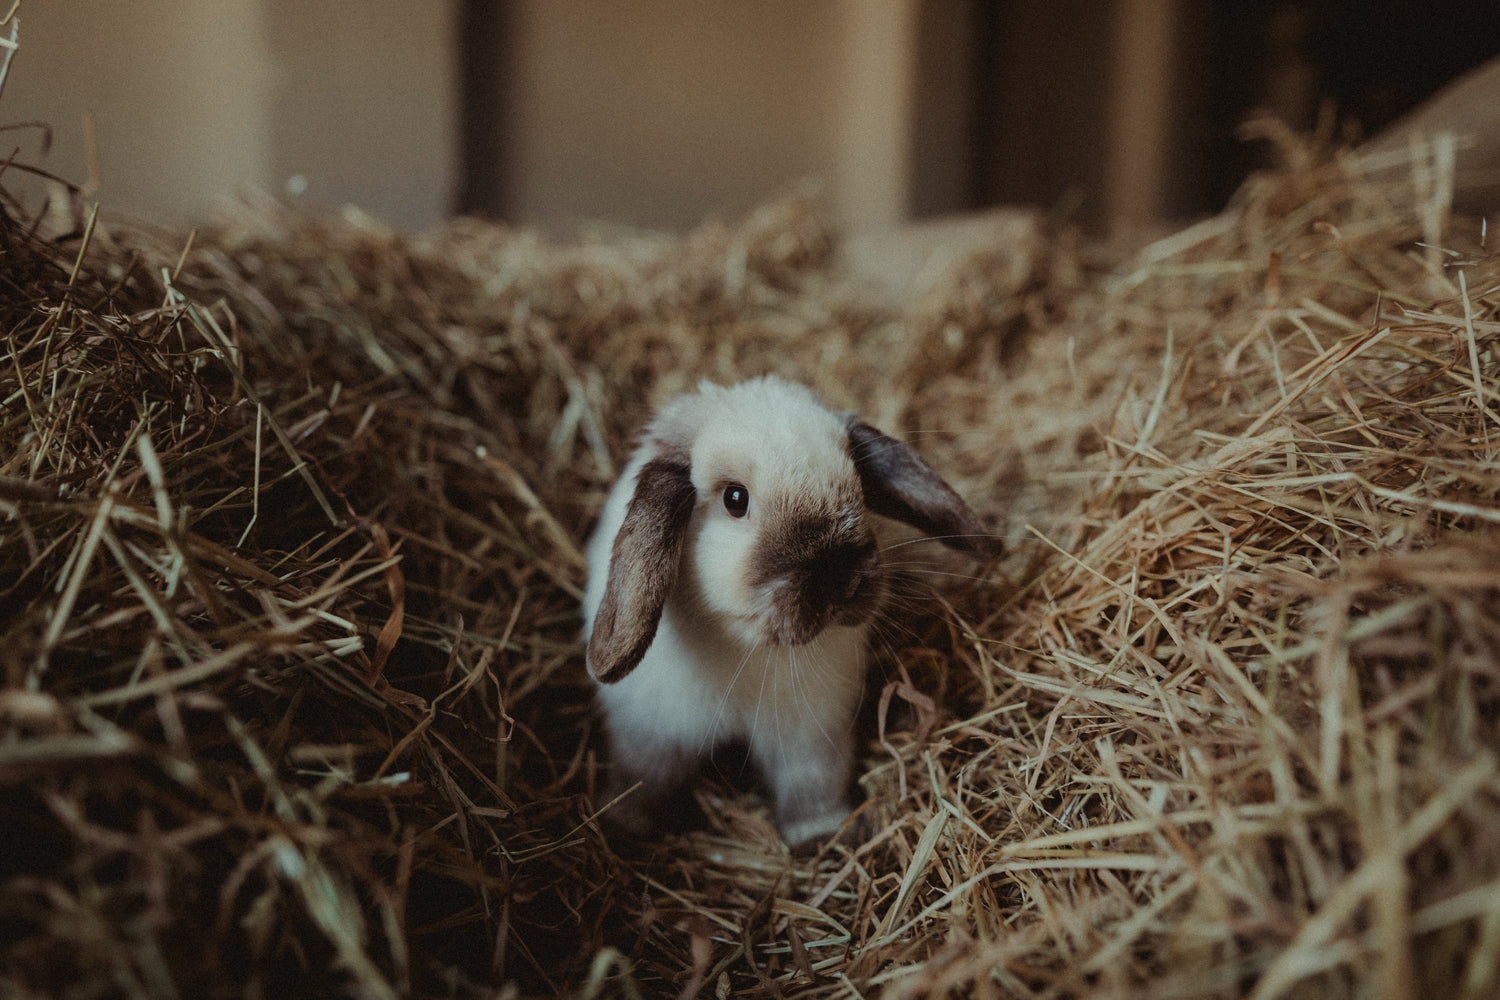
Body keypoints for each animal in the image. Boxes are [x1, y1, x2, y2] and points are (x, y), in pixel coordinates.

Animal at [582, 379, 996, 851]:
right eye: (735, 498)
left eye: (857, 482)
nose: (841, 580)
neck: (744, 646)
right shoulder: (650, 736)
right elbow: (642, 782)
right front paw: (625, 826)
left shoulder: (810, 738)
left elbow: (811, 785)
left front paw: (820, 834)